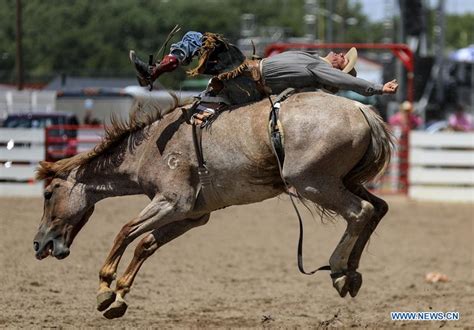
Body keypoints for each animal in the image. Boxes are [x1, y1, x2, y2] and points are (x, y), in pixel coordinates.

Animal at [33, 91, 392, 320]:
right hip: (342, 181)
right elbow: (146, 244)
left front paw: (104, 289)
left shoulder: (171, 203)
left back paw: (338, 268)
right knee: (378, 209)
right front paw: (119, 297)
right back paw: (350, 273)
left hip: (313, 182)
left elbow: (125, 232)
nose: (39, 244)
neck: (150, 148)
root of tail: (363, 111)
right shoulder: (191, 215)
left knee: (360, 212)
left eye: (48, 193)